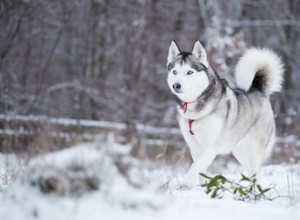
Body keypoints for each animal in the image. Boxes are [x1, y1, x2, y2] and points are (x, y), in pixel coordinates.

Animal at [166, 40, 284, 186]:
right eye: (174, 71)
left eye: (189, 72)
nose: (176, 85)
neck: (196, 109)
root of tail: (258, 90)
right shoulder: (195, 147)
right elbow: (200, 169)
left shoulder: (211, 146)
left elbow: (195, 166)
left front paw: (185, 184)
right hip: (240, 151)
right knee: (254, 171)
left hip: (254, 149)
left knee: (256, 171)